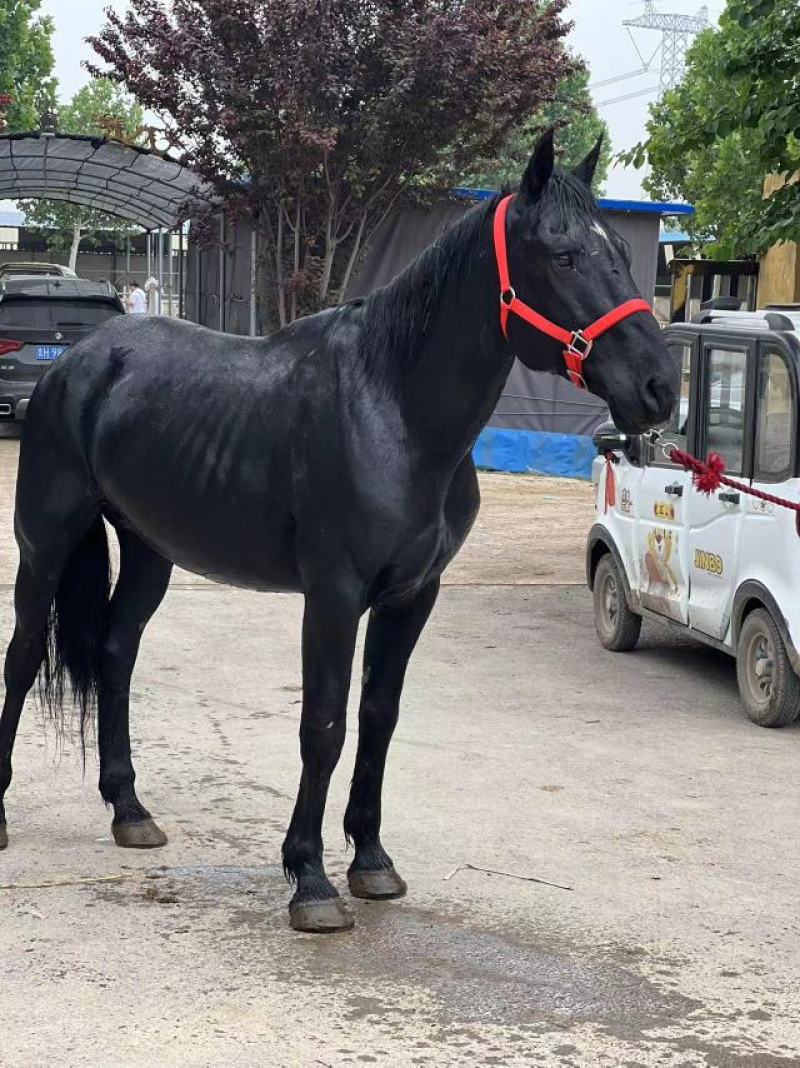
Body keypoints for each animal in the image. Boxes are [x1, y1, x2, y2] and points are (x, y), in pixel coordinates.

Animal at [0, 130, 678, 932]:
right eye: (564, 255)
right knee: (20, 657)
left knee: (114, 653)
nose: (659, 387)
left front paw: (373, 861)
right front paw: (311, 880)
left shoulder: (412, 596)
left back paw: (129, 809)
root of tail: (76, 361)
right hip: (45, 543)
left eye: (624, 253)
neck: (394, 412)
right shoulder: (332, 596)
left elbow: (379, 716)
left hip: (148, 552)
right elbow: (323, 725)